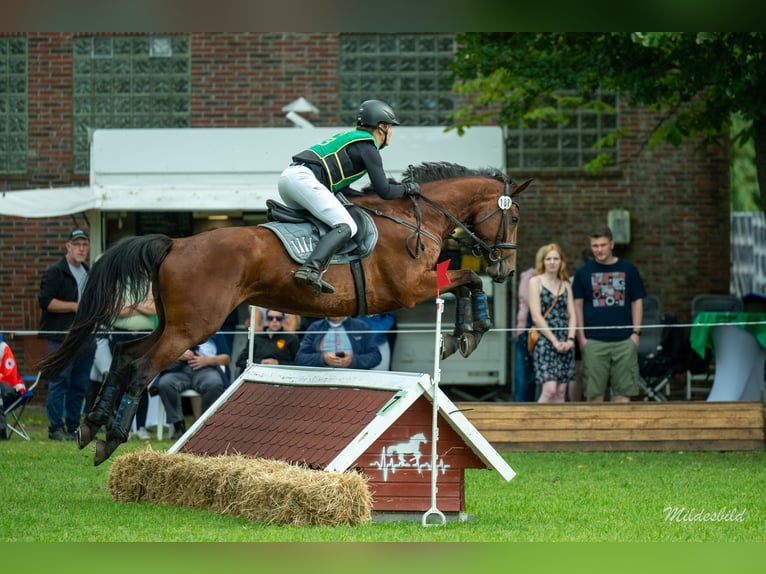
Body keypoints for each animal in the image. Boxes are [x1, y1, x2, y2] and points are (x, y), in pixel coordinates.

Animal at [39, 162, 532, 468]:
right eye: (513, 219)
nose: (505, 269)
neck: (416, 217)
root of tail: (176, 243)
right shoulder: (410, 290)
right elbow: (467, 281)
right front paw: (469, 332)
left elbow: (465, 284)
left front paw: (462, 335)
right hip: (192, 327)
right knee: (142, 367)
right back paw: (110, 438)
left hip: (172, 323)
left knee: (125, 355)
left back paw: (90, 425)